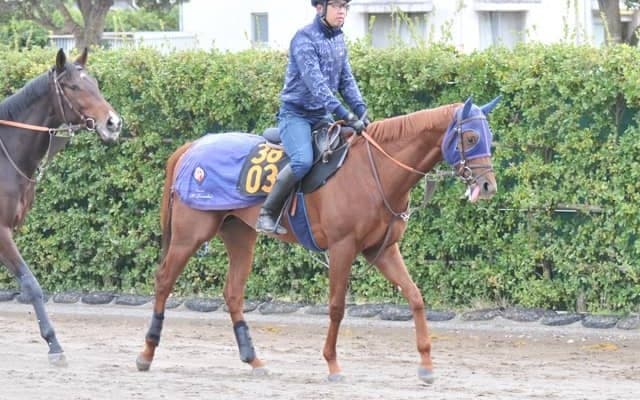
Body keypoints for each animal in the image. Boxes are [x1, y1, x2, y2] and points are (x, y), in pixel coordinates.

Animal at [0, 48, 122, 366]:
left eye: (95, 83)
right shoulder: (0, 232)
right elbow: (31, 284)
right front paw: (54, 344)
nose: (113, 123)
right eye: (74, 86)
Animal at [136, 96, 500, 383]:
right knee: (164, 280)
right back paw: (147, 352)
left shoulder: (382, 250)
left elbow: (415, 297)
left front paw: (426, 364)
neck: (375, 172)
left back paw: (254, 360)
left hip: (239, 234)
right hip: (190, 235)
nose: (487, 186)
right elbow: (337, 307)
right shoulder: (342, 248)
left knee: (233, 293)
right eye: (470, 136)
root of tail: (192, 147)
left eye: (490, 137)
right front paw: (332, 364)